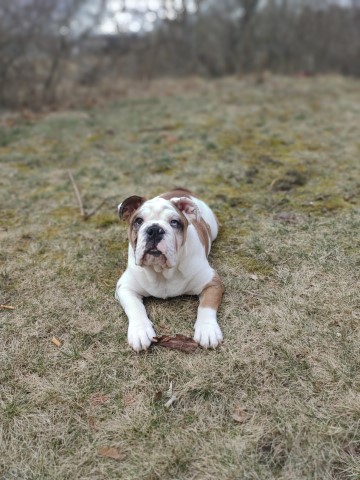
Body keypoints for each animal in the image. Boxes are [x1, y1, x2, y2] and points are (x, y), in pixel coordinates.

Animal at [115, 188, 224, 352]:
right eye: (138, 221)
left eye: (174, 222)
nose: (154, 229)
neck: (162, 271)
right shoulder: (125, 287)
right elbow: (134, 307)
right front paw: (140, 331)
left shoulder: (212, 283)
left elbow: (207, 306)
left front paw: (207, 330)